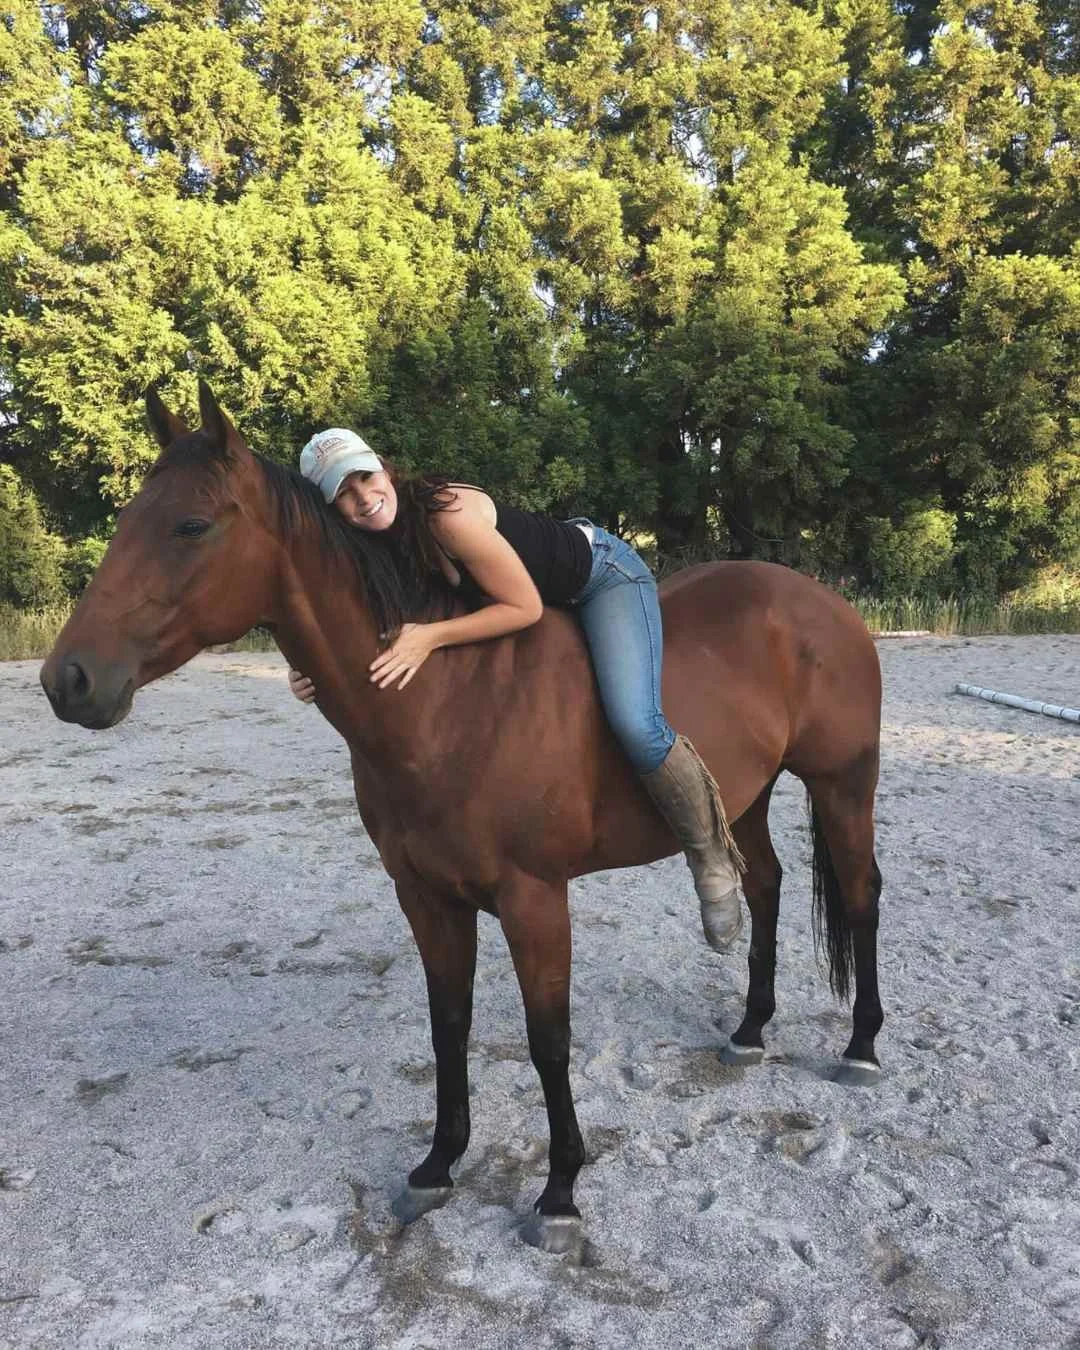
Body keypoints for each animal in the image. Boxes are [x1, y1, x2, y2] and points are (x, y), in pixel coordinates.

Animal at [41, 382, 884, 1253]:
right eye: (129, 515)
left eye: (191, 525)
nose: (68, 679)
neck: (449, 701)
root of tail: (822, 601)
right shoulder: (426, 897)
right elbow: (449, 1023)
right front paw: (437, 1165)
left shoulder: (534, 899)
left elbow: (548, 1039)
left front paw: (559, 1191)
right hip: (747, 793)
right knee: (765, 887)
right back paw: (750, 1030)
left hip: (842, 783)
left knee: (861, 895)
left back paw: (860, 1048)